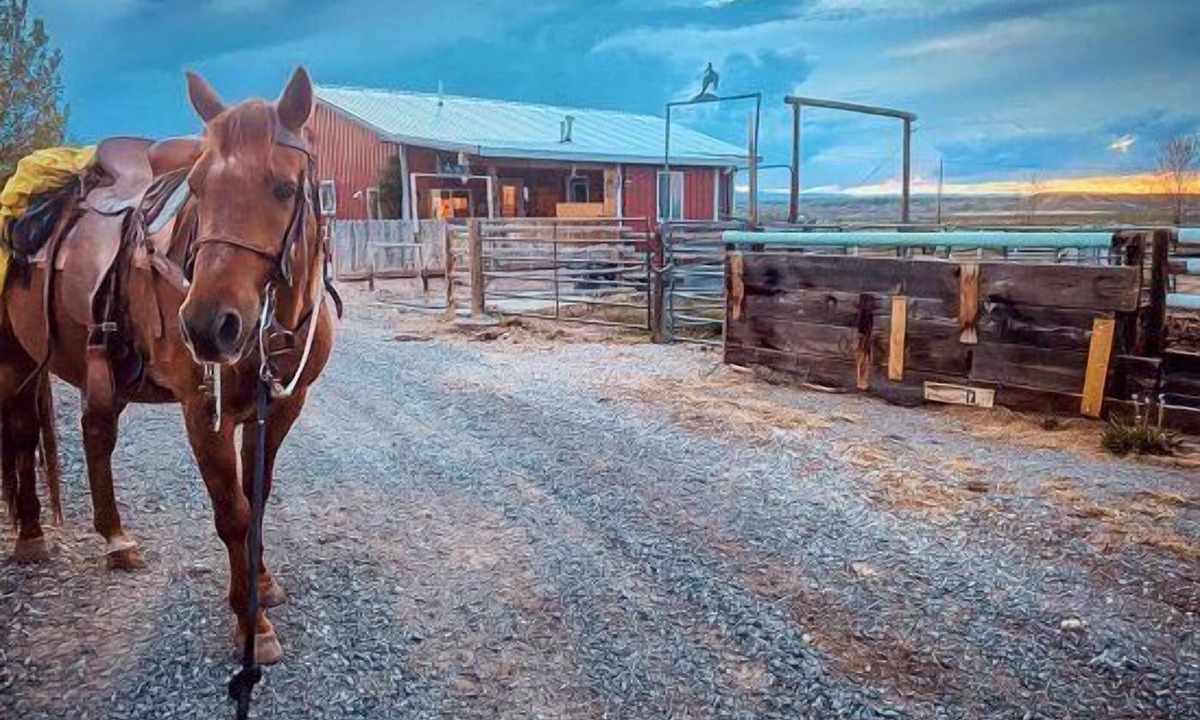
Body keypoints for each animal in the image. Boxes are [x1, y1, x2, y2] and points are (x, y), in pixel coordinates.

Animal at [4, 67, 338, 663]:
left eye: (282, 188)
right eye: (198, 190)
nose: (207, 326)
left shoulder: (281, 408)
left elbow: (258, 497)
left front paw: (264, 584)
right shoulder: (203, 414)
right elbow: (233, 512)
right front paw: (251, 624)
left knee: (91, 437)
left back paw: (116, 540)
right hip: (13, 359)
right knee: (20, 433)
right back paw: (30, 535)